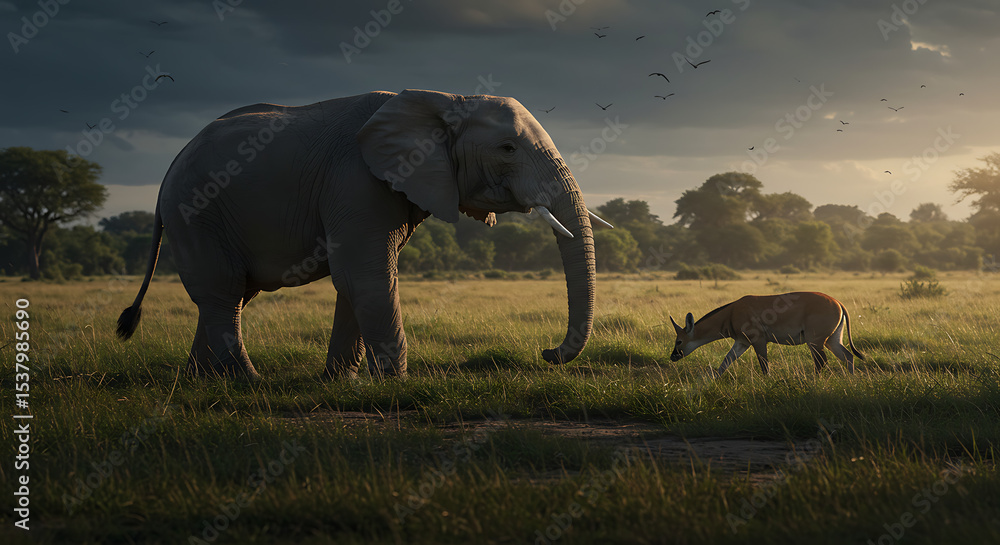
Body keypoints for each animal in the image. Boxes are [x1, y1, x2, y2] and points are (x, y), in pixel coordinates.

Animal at [116, 89, 612, 380]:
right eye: (507, 149)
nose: (546, 353)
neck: (445, 99)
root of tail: (169, 168)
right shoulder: (355, 180)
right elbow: (366, 276)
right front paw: (394, 384)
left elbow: (358, 281)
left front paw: (343, 383)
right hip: (196, 211)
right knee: (222, 292)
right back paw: (246, 382)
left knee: (231, 295)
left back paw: (201, 380)